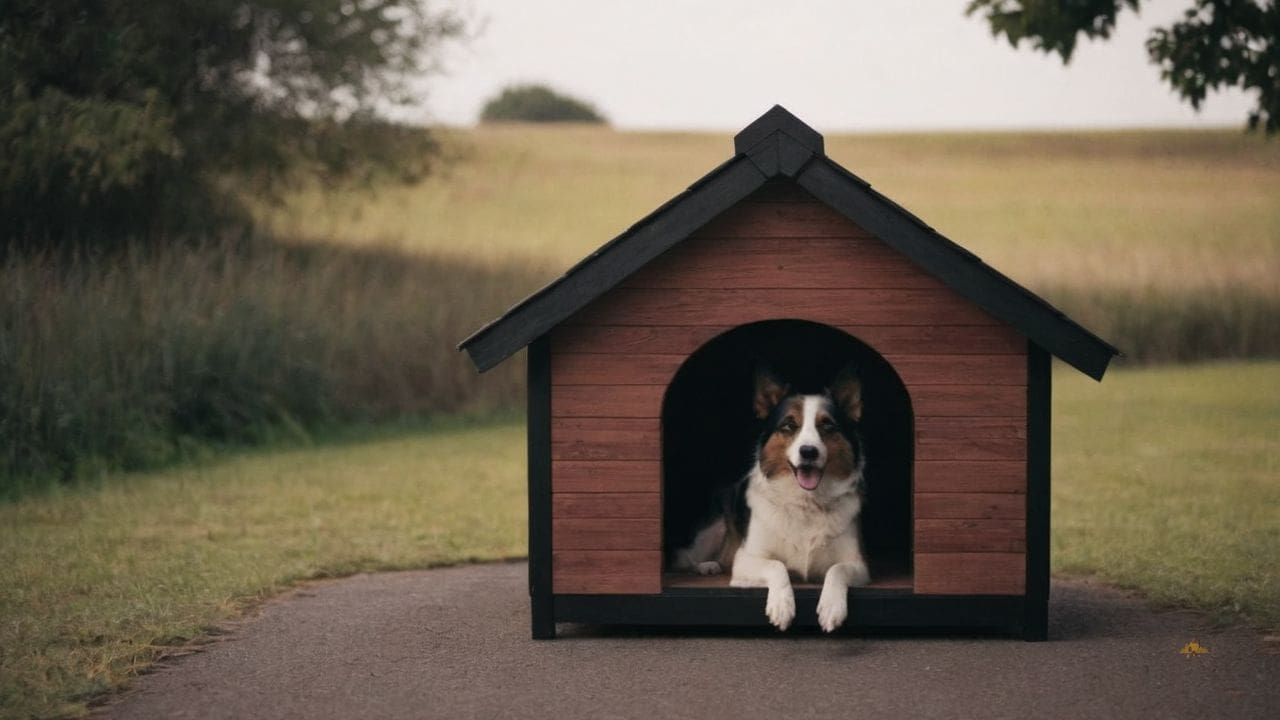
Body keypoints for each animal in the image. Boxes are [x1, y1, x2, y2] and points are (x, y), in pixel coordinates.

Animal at [670, 361, 870, 630]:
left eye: (828, 426)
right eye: (789, 425)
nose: (808, 452)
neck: (805, 502)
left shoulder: (859, 564)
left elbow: (837, 570)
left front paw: (831, 607)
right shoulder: (745, 560)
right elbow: (777, 566)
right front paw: (781, 606)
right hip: (714, 529)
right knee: (685, 557)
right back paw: (707, 566)